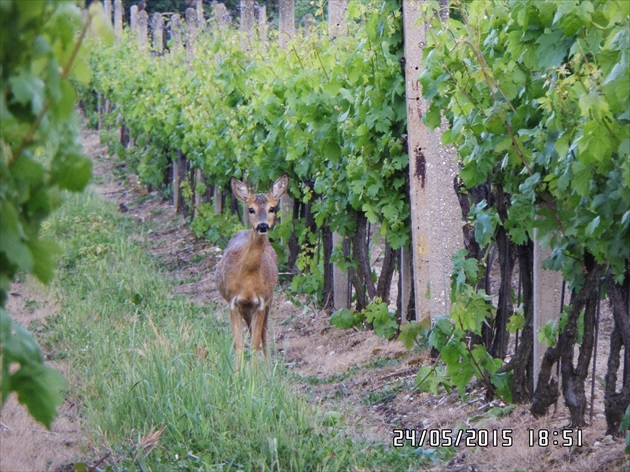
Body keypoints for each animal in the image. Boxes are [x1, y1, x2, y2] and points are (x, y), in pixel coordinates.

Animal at [215, 173, 288, 366]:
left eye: (272, 208)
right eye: (251, 209)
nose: (262, 226)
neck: (246, 278)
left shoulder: (261, 302)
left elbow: (255, 343)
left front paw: (254, 373)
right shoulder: (233, 301)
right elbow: (238, 345)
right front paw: (237, 373)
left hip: (269, 299)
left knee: (263, 335)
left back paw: (268, 368)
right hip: (245, 309)